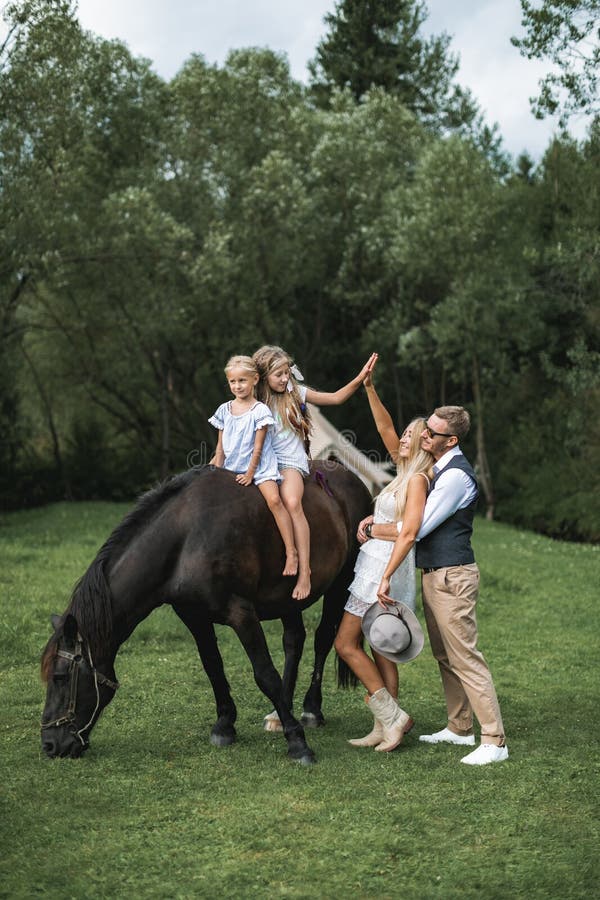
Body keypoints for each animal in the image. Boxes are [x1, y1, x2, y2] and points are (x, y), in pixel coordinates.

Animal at [39, 464, 370, 768]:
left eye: (59, 677)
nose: (50, 745)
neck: (185, 539)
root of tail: (349, 477)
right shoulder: (194, 616)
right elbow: (213, 666)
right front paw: (225, 724)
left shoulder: (242, 613)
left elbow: (265, 674)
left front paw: (298, 742)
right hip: (288, 598)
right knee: (294, 641)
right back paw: (280, 712)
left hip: (340, 583)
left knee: (322, 639)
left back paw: (311, 709)